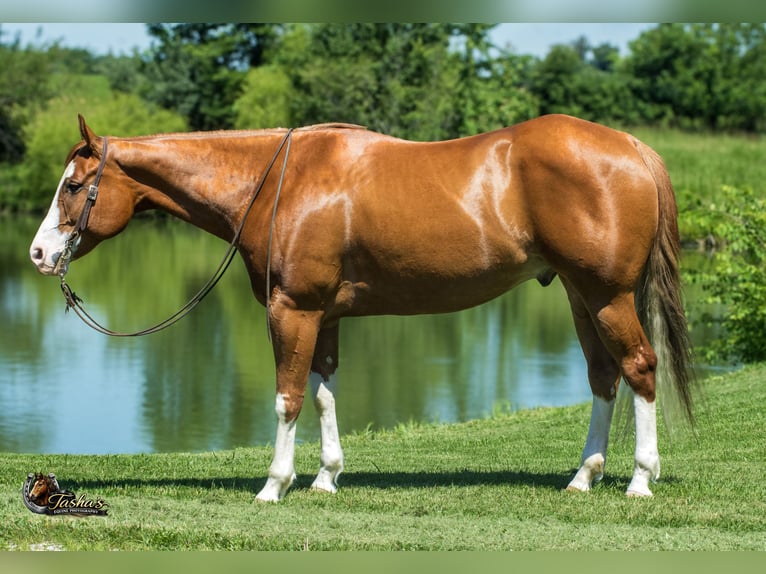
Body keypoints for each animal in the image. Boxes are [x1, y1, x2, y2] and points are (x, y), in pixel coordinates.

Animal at [30, 113, 694, 501]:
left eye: (73, 185)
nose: (39, 253)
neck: (278, 182)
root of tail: (632, 147)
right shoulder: (324, 317)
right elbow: (324, 392)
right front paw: (326, 477)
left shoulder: (292, 310)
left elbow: (288, 397)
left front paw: (275, 485)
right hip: (583, 298)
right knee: (604, 378)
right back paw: (583, 477)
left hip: (607, 297)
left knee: (640, 368)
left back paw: (640, 480)